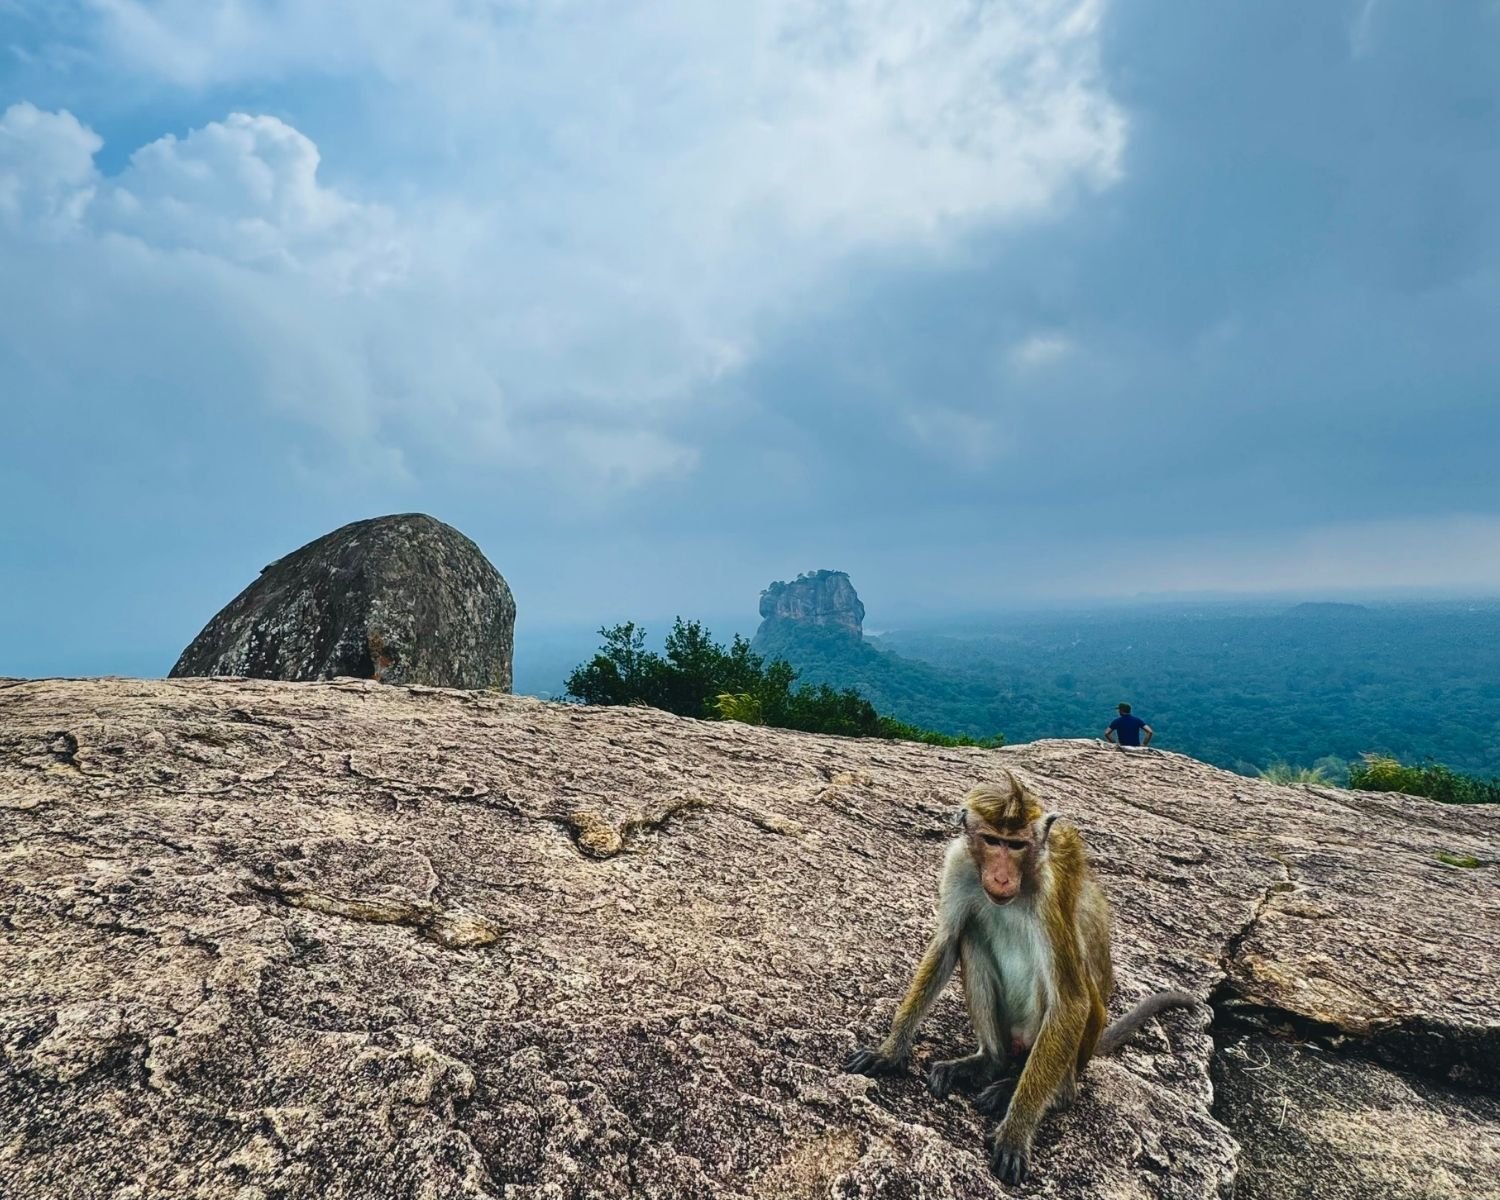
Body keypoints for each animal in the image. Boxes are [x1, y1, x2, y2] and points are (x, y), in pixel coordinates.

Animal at [844, 770, 1196, 1185]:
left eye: (1016, 845)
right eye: (992, 841)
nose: (1000, 876)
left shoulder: (1052, 893)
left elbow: (1071, 1000)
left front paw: (1015, 1133)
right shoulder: (959, 864)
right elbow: (946, 944)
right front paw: (889, 1052)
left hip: (1055, 1044)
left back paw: (1033, 1090)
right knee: (971, 937)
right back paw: (989, 1064)